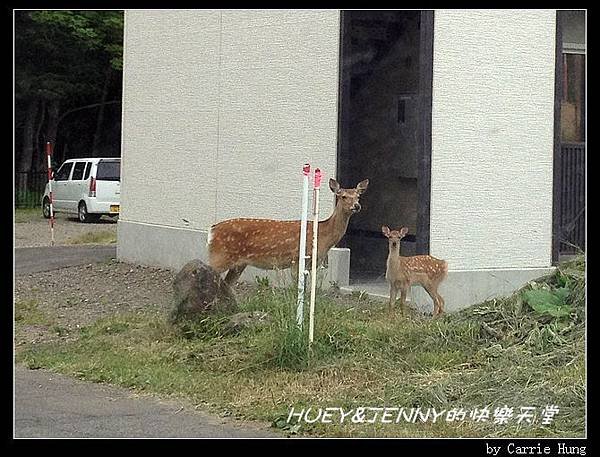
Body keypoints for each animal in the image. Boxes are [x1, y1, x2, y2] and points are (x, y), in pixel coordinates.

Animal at [206, 178, 368, 284]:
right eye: (343, 196)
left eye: (358, 196)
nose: (357, 206)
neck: (323, 235)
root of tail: (212, 230)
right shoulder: (297, 259)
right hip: (220, 256)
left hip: (238, 264)